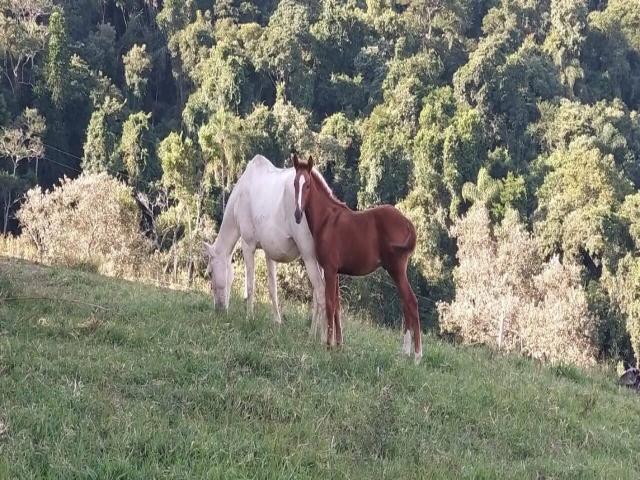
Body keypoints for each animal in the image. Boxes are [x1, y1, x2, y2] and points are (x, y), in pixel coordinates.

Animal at [204, 154, 324, 338]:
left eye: (210, 273)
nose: (219, 309)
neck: (238, 200)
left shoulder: (248, 244)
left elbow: (250, 285)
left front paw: (249, 318)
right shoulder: (269, 251)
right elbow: (272, 287)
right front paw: (277, 321)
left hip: (308, 255)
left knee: (319, 290)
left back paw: (317, 336)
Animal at [292, 154, 422, 360]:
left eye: (308, 185)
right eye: (295, 183)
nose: (297, 214)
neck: (327, 220)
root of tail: (408, 223)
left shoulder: (329, 269)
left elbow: (330, 303)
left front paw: (327, 345)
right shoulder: (335, 271)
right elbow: (337, 305)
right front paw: (338, 344)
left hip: (396, 268)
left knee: (411, 302)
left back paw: (416, 355)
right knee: (406, 304)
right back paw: (405, 352)